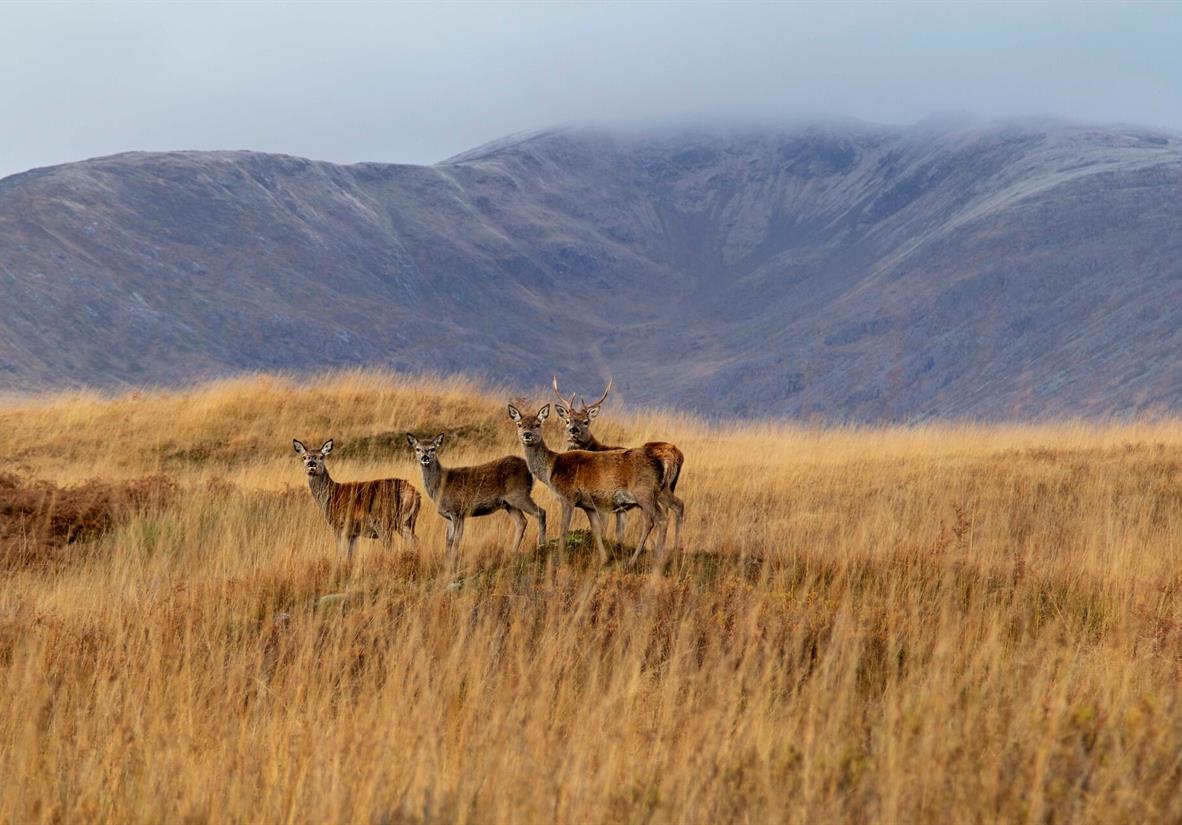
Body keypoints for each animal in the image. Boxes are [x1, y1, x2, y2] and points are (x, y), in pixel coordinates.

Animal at [292, 438, 420, 562]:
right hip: (406, 522)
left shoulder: (340, 526)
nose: (311, 464)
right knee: (415, 541)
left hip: (384, 522)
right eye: (304, 457)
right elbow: (350, 556)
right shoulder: (353, 534)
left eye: (321, 456)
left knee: (392, 547)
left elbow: (342, 553)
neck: (331, 497)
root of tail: (414, 493)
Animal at [406, 433, 546, 566]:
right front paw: (446, 562)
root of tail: (530, 471)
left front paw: (454, 562)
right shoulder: (448, 516)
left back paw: (541, 546)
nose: (425, 458)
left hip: (519, 494)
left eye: (432, 449)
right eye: (418, 449)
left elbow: (456, 539)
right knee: (522, 522)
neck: (441, 486)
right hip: (509, 504)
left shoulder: (458, 511)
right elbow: (448, 540)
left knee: (540, 512)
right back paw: (512, 552)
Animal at [507, 403, 667, 566]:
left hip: (644, 493)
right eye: (519, 424)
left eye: (537, 424)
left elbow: (564, 529)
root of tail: (660, 464)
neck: (551, 470)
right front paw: (604, 559)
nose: (527, 434)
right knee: (651, 522)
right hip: (649, 496)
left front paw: (558, 560)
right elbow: (596, 530)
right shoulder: (588, 504)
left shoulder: (568, 497)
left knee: (661, 519)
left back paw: (652, 561)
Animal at [551, 376, 685, 548]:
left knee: (672, 508)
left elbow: (604, 529)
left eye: (586, 421)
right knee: (676, 506)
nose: (573, 430)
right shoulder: (620, 508)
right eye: (567, 421)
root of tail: (678, 454)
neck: (597, 448)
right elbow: (619, 534)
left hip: (659, 490)